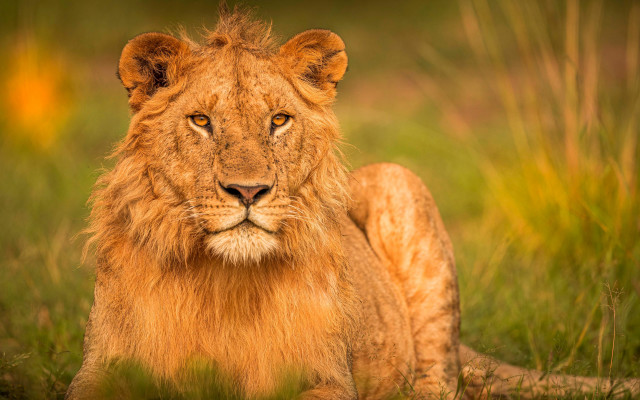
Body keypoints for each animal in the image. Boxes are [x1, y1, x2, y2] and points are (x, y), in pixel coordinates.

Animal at [67, 7, 639, 400]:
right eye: (201, 121)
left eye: (279, 120)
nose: (249, 192)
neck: (221, 279)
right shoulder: (100, 370)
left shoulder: (326, 377)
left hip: (398, 183)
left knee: (440, 379)